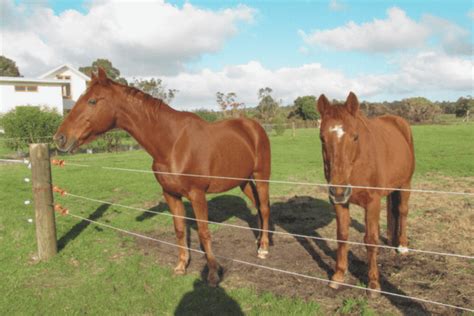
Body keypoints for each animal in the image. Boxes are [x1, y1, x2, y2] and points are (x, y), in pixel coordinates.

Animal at [54, 68, 270, 286]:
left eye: (92, 101)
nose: (60, 138)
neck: (172, 144)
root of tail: (254, 127)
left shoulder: (197, 195)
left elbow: (204, 232)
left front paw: (212, 273)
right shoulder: (170, 194)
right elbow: (179, 229)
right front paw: (181, 265)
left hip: (261, 177)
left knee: (264, 208)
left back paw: (264, 248)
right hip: (243, 181)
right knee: (257, 207)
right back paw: (260, 241)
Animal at [318, 92, 414, 296]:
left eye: (355, 137)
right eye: (322, 138)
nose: (338, 190)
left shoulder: (372, 203)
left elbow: (370, 240)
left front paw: (374, 284)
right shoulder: (340, 203)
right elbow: (342, 236)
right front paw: (338, 275)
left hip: (405, 184)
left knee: (402, 211)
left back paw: (402, 246)